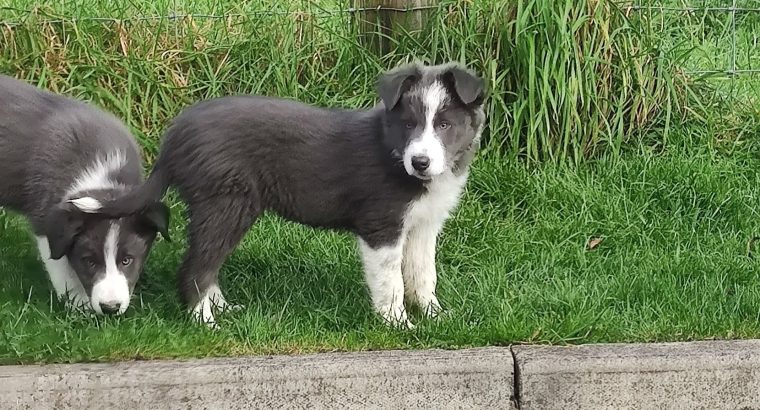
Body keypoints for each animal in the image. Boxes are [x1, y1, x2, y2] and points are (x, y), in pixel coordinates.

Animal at [0, 75, 169, 316]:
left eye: (127, 260)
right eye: (89, 261)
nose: (110, 308)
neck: (101, 174)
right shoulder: (47, 224)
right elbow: (62, 269)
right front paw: (80, 307)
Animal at [96, 60, 486, 326]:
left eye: (445, 124)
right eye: (409, 124)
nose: (420, 162)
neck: (394, 151)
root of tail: (176, 133)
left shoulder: (423, 226)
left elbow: (423, 274)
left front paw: (436, 316)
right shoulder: (382, 226)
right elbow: (390, 281)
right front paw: (398, 324)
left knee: (207, 263)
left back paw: (221, 308)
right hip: (224, 204)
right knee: (196, 266)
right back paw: (205, 320)